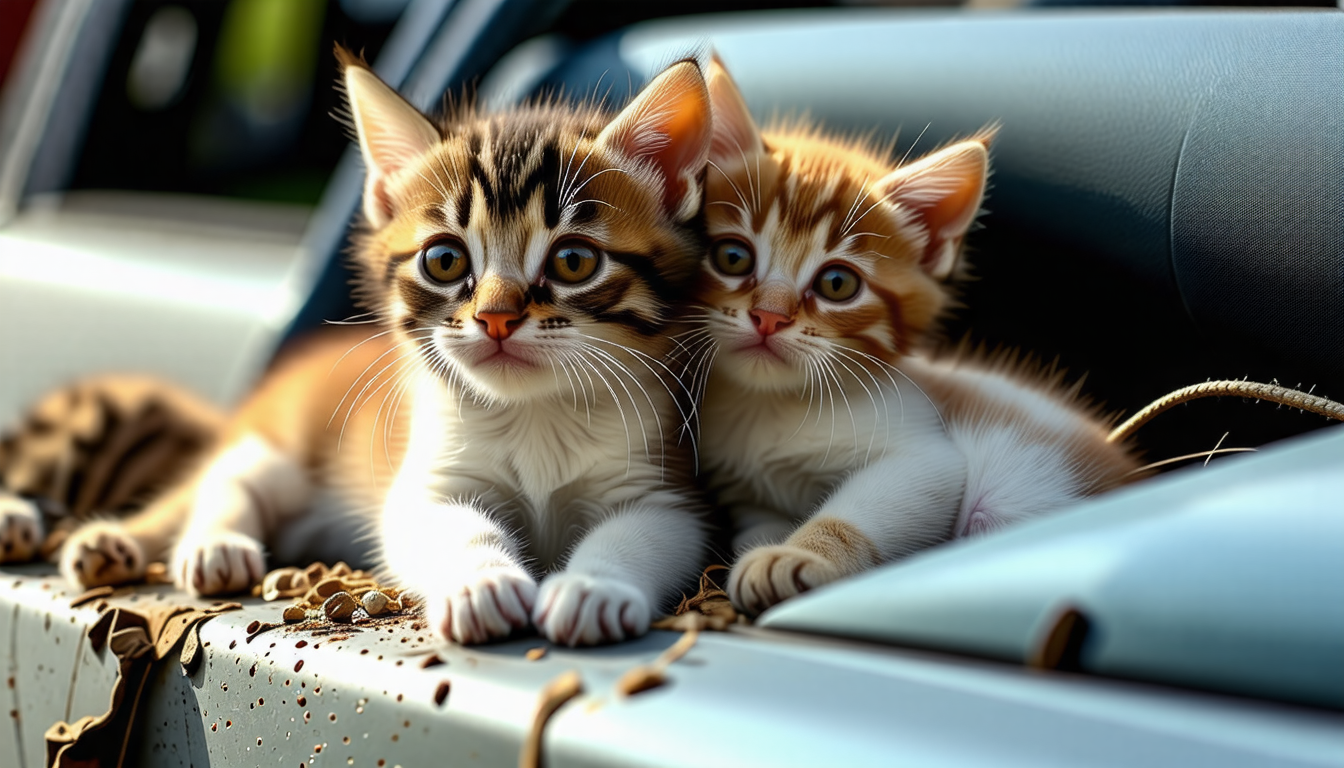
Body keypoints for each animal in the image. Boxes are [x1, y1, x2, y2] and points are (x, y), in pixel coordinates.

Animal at [693, 57, 1145, 616]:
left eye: (837, 284)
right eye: (733, 257)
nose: (768, 317)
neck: (766, 405)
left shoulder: (926, 451)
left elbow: (879, 499)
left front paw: (799, 556)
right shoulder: (749, 491)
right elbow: (758, 522)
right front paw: (764, 549)